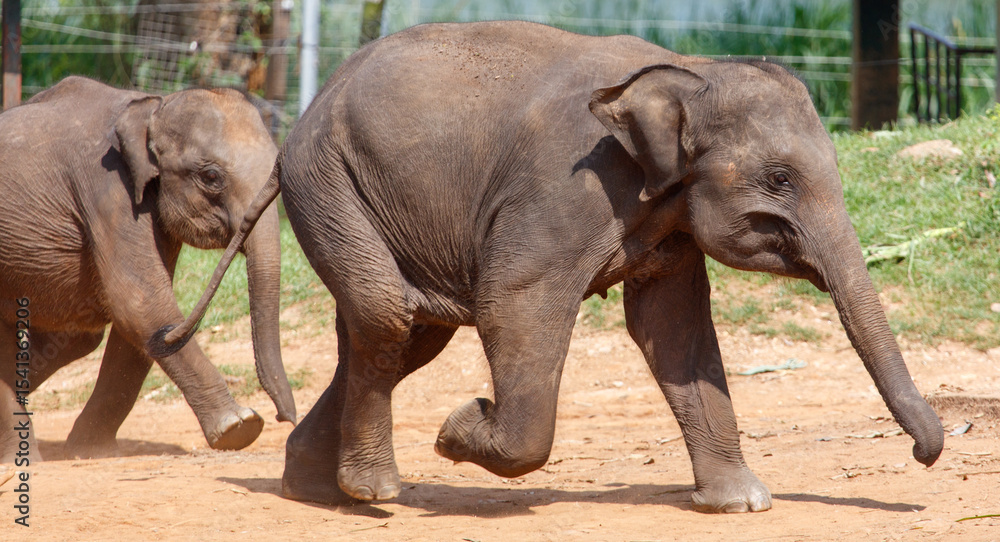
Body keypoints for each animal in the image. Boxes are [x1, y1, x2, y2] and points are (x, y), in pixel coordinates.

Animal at [0, 76, 296, 463]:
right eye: (211, 176)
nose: (285, 419)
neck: (153, 106)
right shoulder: (108, 188)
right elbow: (140, 303)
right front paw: (240, 427)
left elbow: (134, 324)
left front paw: (92, 451)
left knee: (77, 337)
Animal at [158, 21, 943, 513]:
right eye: (779, 180)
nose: (924, 455)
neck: (684, 76)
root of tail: (296, 125)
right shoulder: (562, 191)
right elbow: (515, 301)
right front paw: (459, 428)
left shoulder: (667, 216)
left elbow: (673, 331)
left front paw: (741, 504)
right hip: (330, 184)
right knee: (386, 313)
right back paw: (377, 492)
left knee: (402, 334)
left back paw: (321, 491)